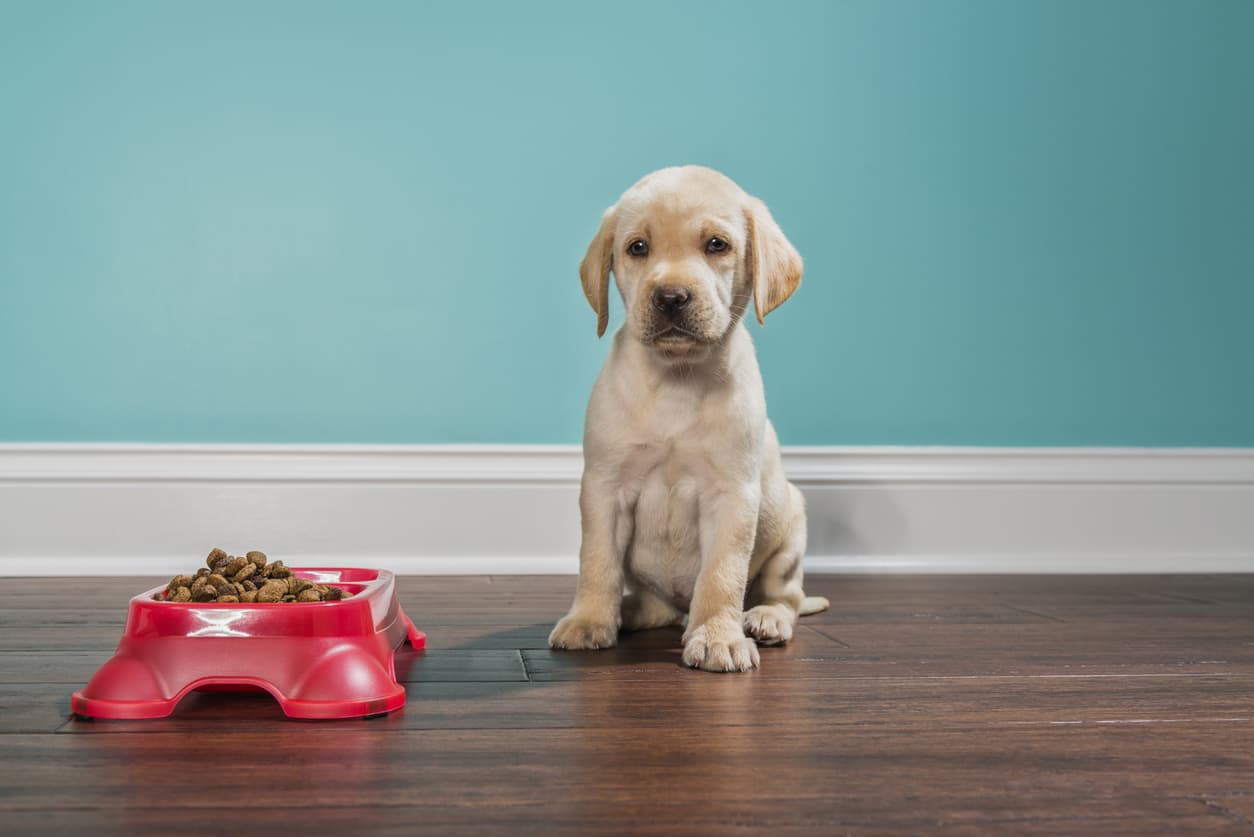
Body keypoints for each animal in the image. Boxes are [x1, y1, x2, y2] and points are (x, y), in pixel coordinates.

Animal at [551, 166, 827, 672]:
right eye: (637, 247)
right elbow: (597, 562)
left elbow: (722, 575)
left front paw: (718, 636)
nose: (671, 297)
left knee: (786, 596)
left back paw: (763, 619)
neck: (677, 378)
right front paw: (589, 620)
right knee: (656, 605)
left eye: (717, 245)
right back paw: (628, 610)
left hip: (790, 528)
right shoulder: (604, 489)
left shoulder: (732, 496)